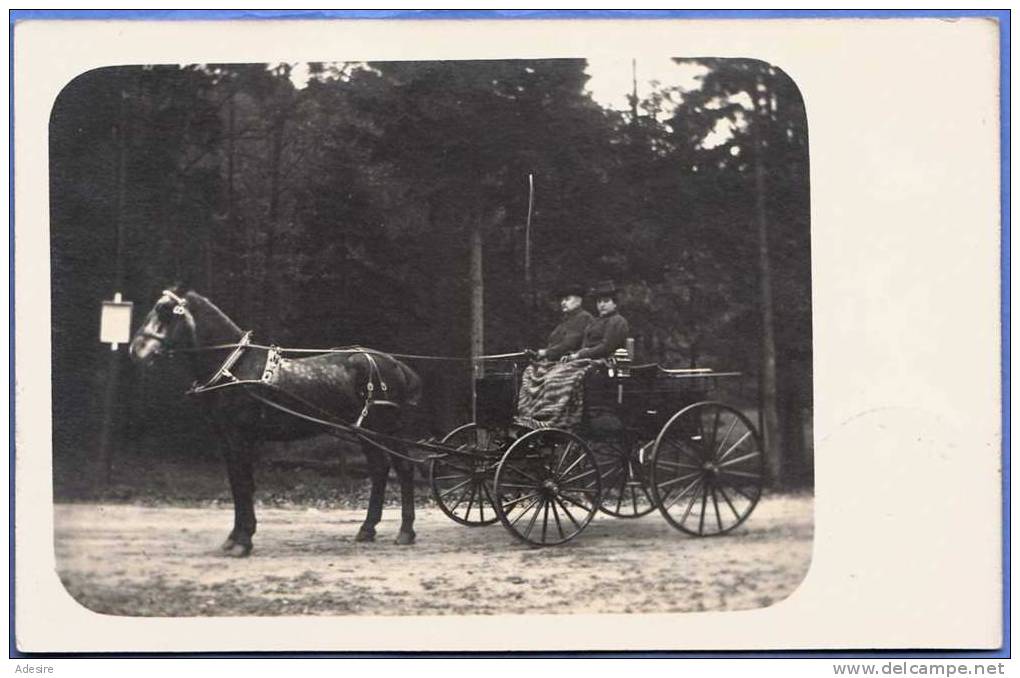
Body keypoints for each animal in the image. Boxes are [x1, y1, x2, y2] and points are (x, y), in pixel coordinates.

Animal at [129, 285, 424, 554]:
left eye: (166, 313)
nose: (136, 351)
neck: (235, 368)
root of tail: (394, 363)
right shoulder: (227, 439)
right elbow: (237, 483)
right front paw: (234, 538)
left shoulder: (241, 438)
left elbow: (244, 484)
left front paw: (243, 541)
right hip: (365, 432)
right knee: (379, 469)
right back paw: (367, 529)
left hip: (388, 428)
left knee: (404, 468)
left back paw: (406, 531)